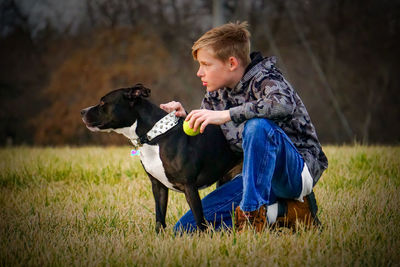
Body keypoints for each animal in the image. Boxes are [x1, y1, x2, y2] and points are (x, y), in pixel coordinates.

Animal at [81, 84, 241, 232]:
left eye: (102, 103)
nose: (82, 111)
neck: (154, 135)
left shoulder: (189, 186)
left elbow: (199, 219)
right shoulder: (158, 186)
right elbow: (159, 216)